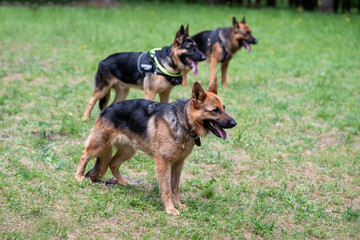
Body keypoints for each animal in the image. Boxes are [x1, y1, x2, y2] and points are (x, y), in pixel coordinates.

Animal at [76, 79, 236, 216]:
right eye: (215, 110)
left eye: (224, 108)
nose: (234, 123)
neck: (183, 120)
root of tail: (107, 109)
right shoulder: (164, 163)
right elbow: (167, 189)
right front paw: (170, 208)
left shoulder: (178, 164)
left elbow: (174, 187)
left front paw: (178, 204)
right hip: (100, 145)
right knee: (84, 154)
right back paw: (79, 176)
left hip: (129, 151)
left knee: (112, 163)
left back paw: (122, 182)